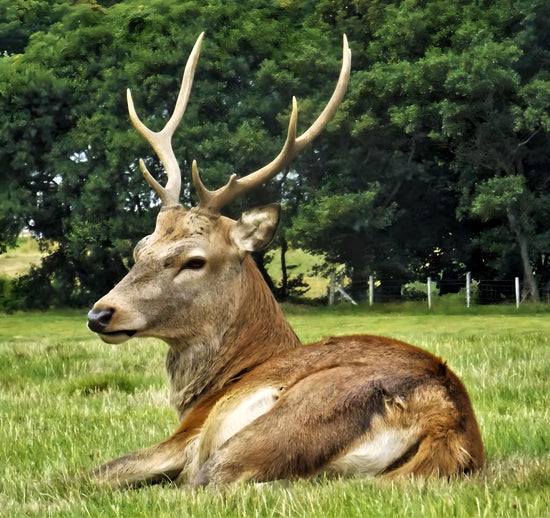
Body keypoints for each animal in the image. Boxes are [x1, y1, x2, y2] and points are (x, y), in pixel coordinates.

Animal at [87, 32, 488, 488]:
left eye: (194, 261)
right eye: (140, 249)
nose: (101, 313)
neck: (220, 383)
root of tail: (446, 416)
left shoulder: (188, 434)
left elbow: (90, 473)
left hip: (288, 419)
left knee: (209, 483)